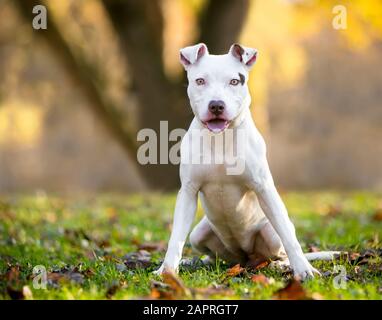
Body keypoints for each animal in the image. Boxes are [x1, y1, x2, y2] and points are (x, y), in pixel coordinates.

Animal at [155, 43, 338, 280]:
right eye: (200, 81)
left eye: (234, 81)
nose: (216, 105)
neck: (221, 138)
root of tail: (245, 259)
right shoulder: (188, 191)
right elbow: (176, 237)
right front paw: (167, 270)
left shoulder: (264, 188)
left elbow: (290, 238)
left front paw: (304, 269)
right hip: (199, 233)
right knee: (215, 256)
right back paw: (197, 261)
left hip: (270, 233)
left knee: (278, 249)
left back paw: (281, 265)